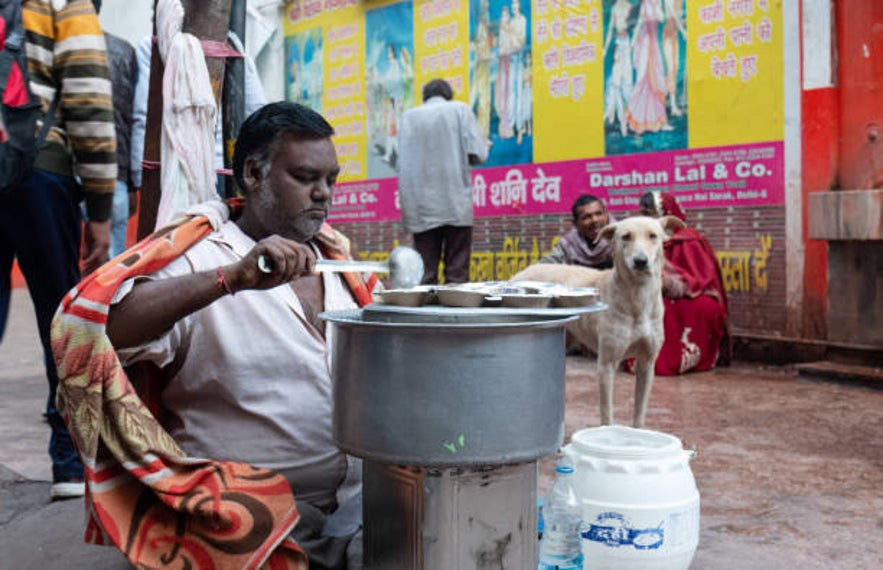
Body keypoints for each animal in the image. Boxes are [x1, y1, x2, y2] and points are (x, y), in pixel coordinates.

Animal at [512, 215, 684, 424]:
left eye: (653, 236)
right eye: (626, 236)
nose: (640, 261)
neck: (637, 295)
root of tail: (520, 273)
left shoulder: (647, 363)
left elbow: (639, 414)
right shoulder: (606, 365)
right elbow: (607, 414)